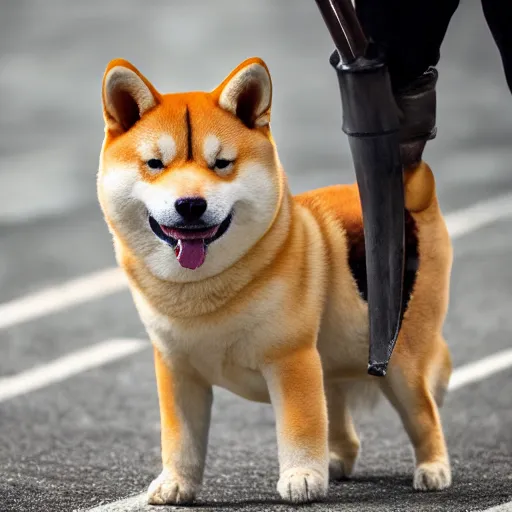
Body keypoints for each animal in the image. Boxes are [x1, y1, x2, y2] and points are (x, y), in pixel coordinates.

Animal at [96, 55, 452, 504]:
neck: (204, 291)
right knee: (341, 419)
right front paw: (177, 483)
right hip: (333, 360)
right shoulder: (176, 369)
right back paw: (335, 463)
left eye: (222, 163)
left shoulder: (290, 359)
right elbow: (181, 438)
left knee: (423, 415)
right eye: (155, 164)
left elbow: (300, 425)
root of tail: (414, 190)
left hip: (400, 361)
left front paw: (300, 477)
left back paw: (432, 468)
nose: (190, 204)